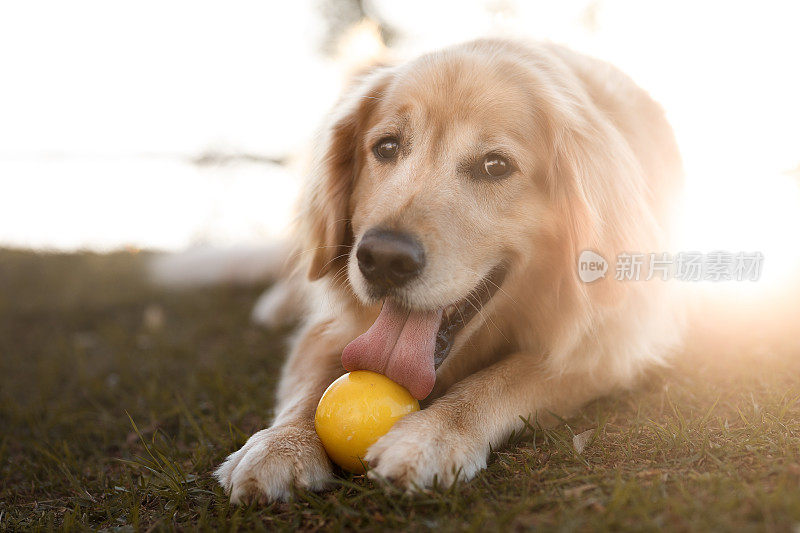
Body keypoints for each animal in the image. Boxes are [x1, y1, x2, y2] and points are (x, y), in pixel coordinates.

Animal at [214, 39, 688, 500]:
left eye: (495, 165)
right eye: (387, 147)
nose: (383, 258)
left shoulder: (613, 341)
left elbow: (507, 378)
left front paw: (433, 434)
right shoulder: (330, 327)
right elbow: (308, 387)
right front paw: (281, 443)